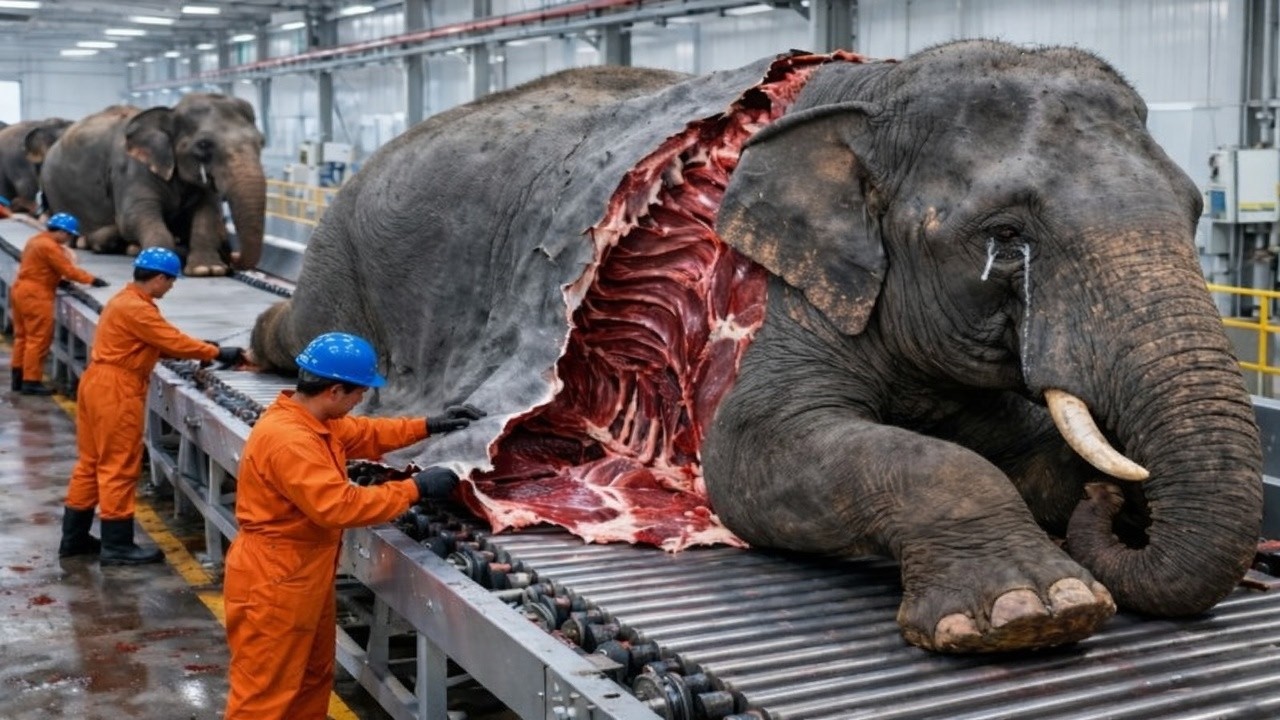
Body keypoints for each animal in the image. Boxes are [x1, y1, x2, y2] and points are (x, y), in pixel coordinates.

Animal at [40, 94, 266, 276]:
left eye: (262, 142)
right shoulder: (131, 170)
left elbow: (208, 214)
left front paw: (208, 269)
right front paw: (159, 260)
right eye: (203, 145)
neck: (169, 111)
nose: (233, 258)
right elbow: (132, 217)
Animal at [249, 40, 1263, 654]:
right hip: (341, 260)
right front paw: (1029, 614)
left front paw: (1079, 507)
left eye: (1196, 211)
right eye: (1005, 238)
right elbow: (749, 460)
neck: (873, 91)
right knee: (302, 335)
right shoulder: (767, 298)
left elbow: (1018, 444)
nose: (1121, 514)